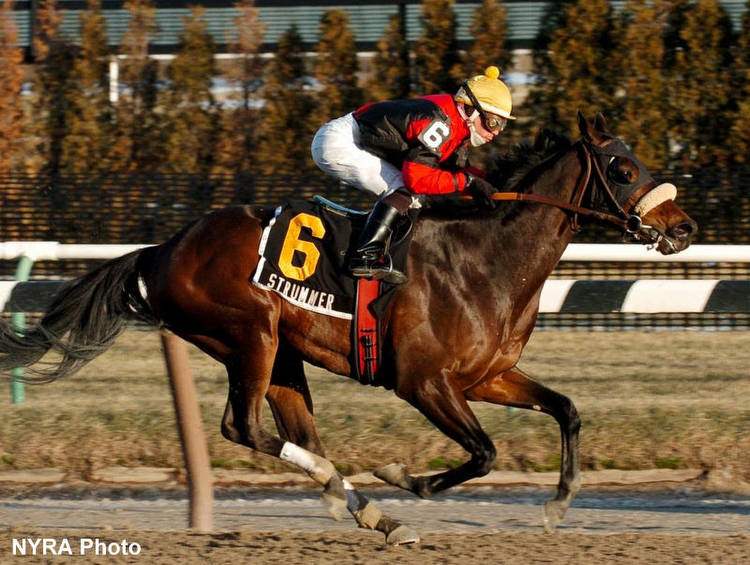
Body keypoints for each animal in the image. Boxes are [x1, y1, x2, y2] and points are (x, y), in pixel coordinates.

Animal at [0, 113, 700, 540]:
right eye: (623, 170)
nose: (685, 227)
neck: (484, 256)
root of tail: (162, 250)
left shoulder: (488, 377)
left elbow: (567, 409)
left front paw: (557, 503)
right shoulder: (423, 383)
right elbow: (484, 453)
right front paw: (403, 477)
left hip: (283, 353)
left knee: (291, 431)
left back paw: (366, 510)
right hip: (250, 336)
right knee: (242, 427)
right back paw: (359, 499)